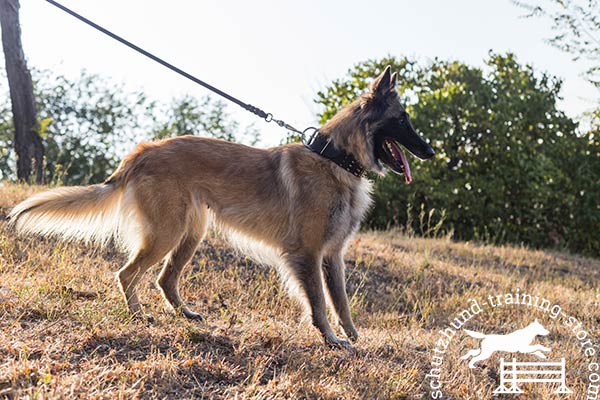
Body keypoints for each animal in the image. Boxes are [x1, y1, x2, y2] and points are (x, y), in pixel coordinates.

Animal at [9, 65, 436, 346]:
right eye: (403, 119)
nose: (431, 152)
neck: (334, 158)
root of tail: (142, 152)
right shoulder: (308, 254)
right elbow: (317, 302)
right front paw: (331, 339)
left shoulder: (332, 255)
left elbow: (341, 302)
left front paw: (351, 336)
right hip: (166, 233)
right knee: (127, 274)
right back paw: (139, 316)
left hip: (190, 232)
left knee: (164, 279)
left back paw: (184, 315)